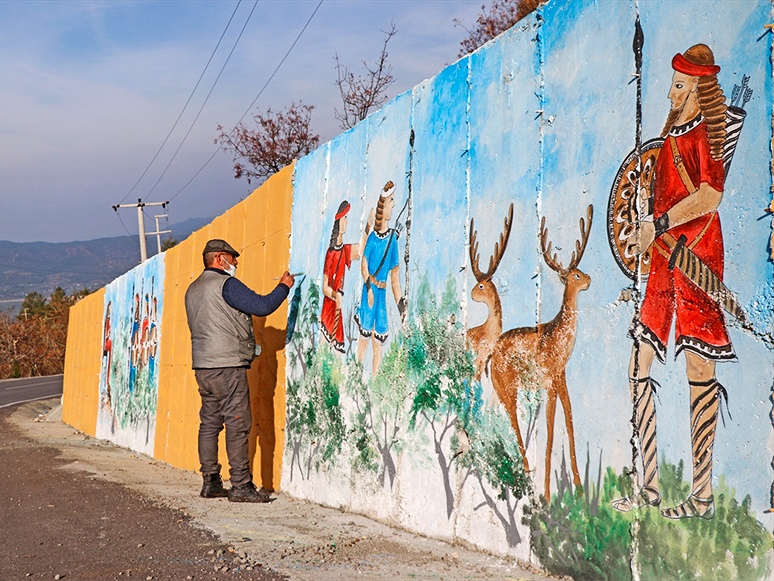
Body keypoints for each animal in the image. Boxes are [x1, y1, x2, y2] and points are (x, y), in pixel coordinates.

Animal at [492, 205, 596, 502]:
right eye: (575, 275)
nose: (589, 279)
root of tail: (490, 354)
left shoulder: (561, 379)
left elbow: (569, 422)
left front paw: (579, 488)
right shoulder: (549, 381)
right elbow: (549, 434)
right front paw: (549, 495)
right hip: (507, 386)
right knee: (514, 421)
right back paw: (526, 470)